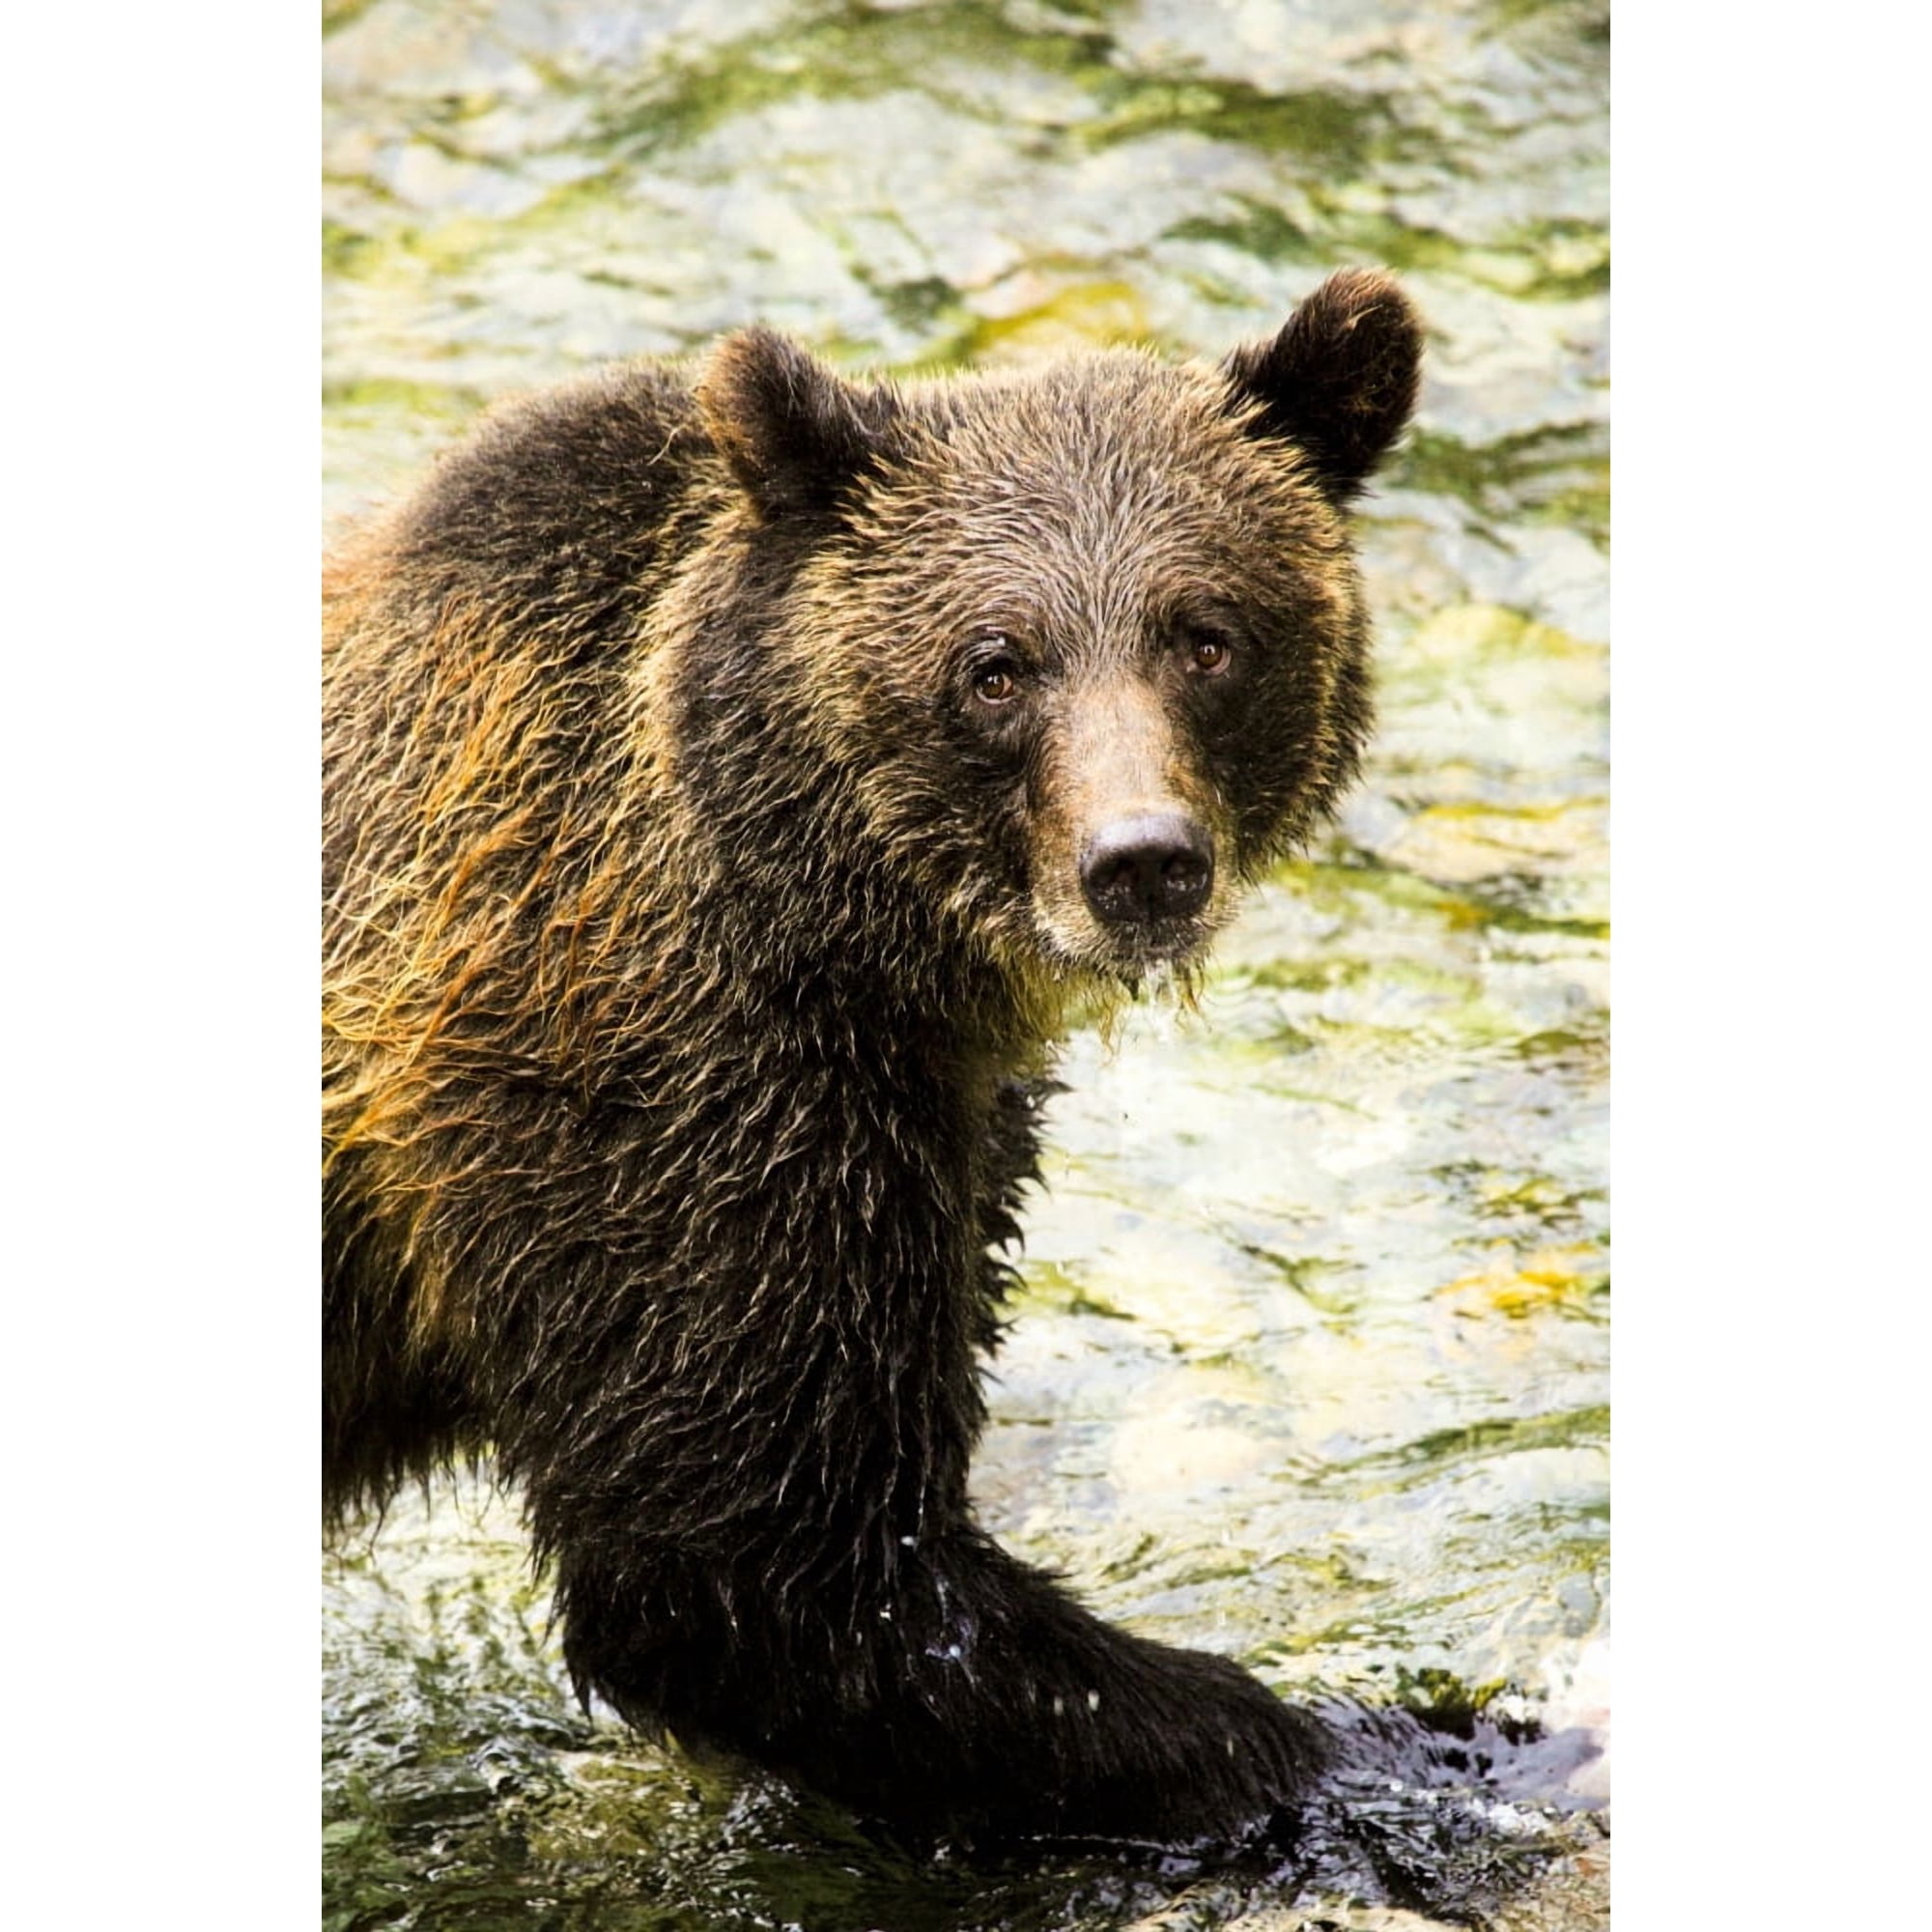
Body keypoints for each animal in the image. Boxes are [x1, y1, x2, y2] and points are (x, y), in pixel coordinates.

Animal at [323, 267, 1422, 1853]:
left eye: (1204, 634)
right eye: (996, 664)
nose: (1141, 863)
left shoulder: (929, 1107)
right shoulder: (664, 1073)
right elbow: (774, 1570)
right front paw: (1348, 1738)